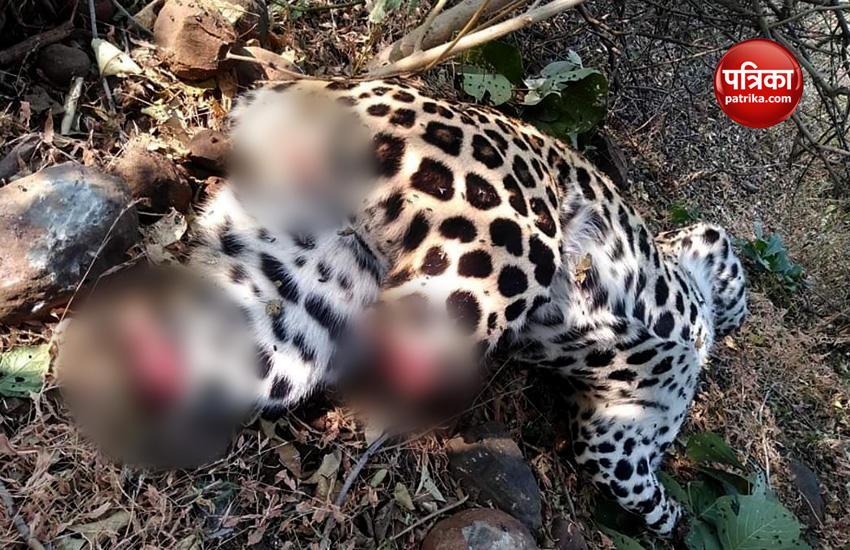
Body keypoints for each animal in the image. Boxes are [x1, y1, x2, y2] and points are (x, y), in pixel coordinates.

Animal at [59, 78, 747, 537]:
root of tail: (311, 89)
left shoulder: (613, 438)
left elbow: (644, 482)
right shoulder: (694, 262)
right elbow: (727, 269)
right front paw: (682, 519)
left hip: (292, 293)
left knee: (216, 347)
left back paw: (132, 352)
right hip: (508, 240)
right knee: (425, 321)